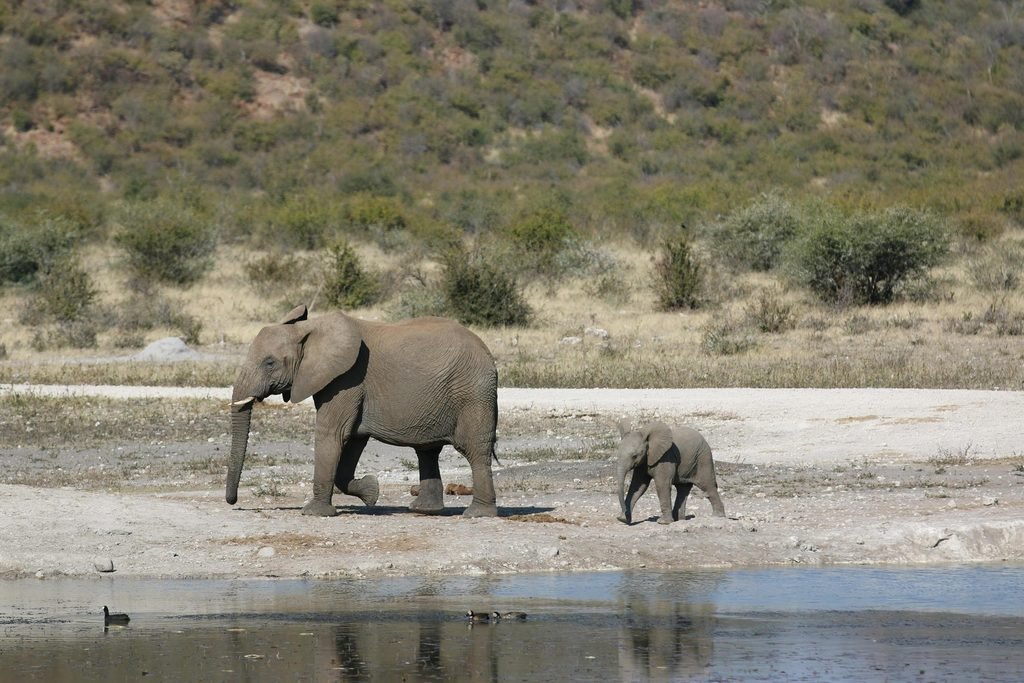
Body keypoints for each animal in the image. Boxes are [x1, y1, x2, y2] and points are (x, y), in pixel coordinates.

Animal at [227, 304, 499, 518]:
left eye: (269, 363)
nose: (233, 502)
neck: (311, 329)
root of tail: (488, 353)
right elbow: (352, 440)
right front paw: (371, 493)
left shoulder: (346, 380)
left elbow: (332, 435)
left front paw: (314, 513)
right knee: (427, 451)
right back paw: (423, 509)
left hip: (472, 393)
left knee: (474, 450)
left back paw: (477, 514)